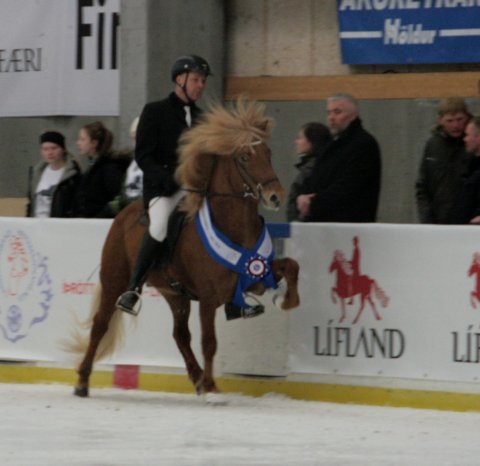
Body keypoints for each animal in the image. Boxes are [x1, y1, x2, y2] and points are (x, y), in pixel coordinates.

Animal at [65, 97, 300, 396]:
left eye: (268, 153)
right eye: (245, 157)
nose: (275, 196)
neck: (234, 227)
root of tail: (123, 212)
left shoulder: (254, 277)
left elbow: (291, 265)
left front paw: (288, 300)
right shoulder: (209, 298)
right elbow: (209, 342)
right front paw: (212, 389)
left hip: (175, 294)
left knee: (180, 335)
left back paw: (197, 378)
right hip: (115, 280)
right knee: (100, 325)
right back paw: (83, 381)